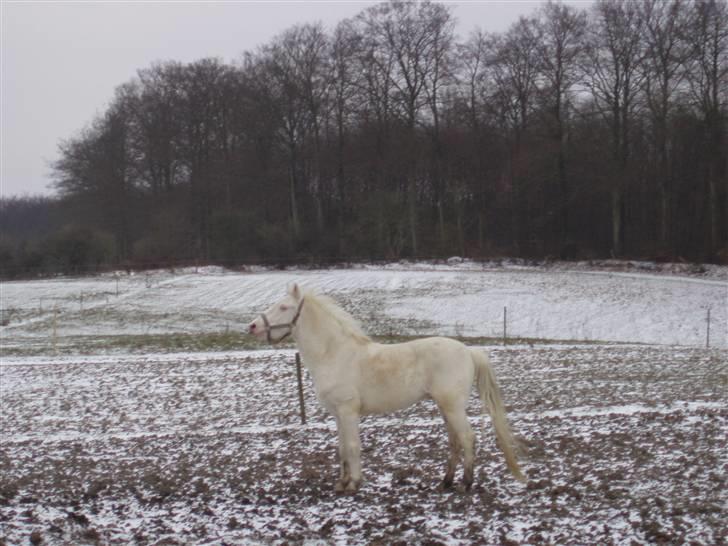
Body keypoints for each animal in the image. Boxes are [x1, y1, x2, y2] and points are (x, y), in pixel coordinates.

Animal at [249, 282, 524, 490]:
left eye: (284, 307)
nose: (253, 326)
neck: (334, 354)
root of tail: (468, 351)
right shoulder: (338, 414)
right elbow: (341, 448)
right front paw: (342, 483)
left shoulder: (348, 411)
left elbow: (353, 447)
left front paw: (354, 484)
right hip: (445, 407)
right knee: (454, 440)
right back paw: (446, 481)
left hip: (453, 407)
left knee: (467, 437)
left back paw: (466, 483)